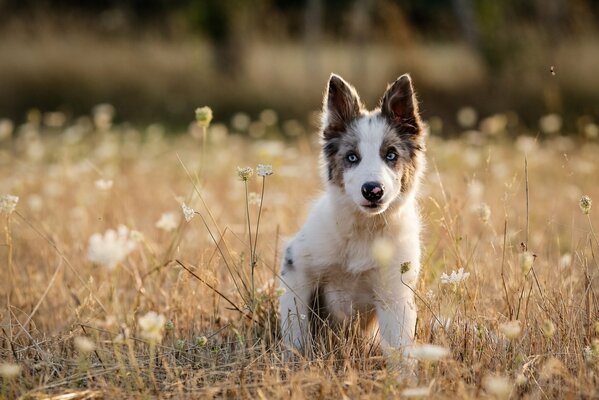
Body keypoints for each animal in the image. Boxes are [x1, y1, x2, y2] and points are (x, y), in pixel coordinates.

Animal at [280, 72, 426, 366]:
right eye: (351, 157)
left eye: (391, 155)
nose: (373, 190)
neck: (363, 230)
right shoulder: (297, 272)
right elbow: (296, 333)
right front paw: (295, 365)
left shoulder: (394, 294)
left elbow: (401, 351)